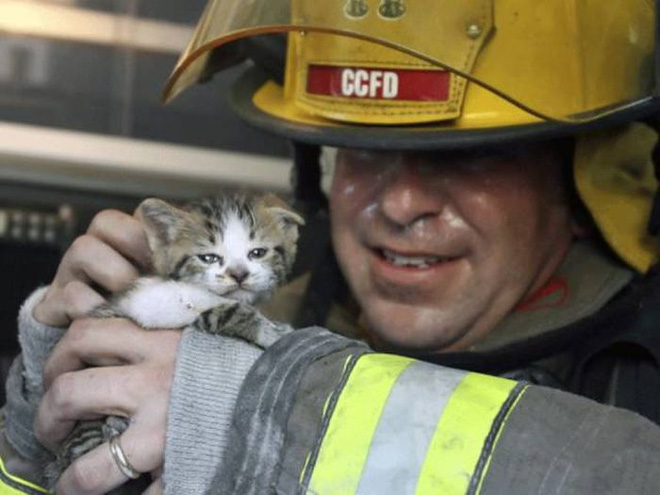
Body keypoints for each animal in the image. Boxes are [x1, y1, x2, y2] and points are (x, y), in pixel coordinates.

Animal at [46, 192, 304, 494]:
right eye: (208, 257)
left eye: (258, 252)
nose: (239, 274)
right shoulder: (159, 302)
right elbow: (230, 310)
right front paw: (273, 334)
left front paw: (278, 327)